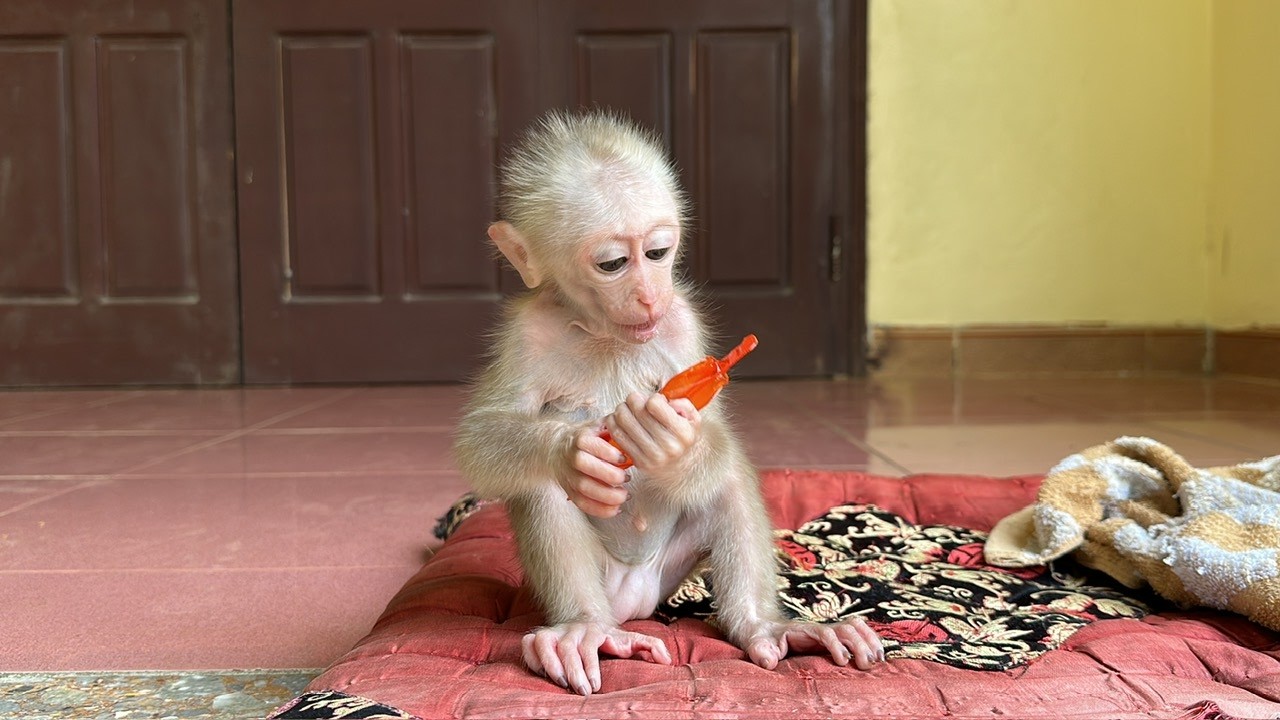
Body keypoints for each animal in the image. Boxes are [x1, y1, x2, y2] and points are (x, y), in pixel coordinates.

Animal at [453, 110, 883, 697]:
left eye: (658, 254)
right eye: (613, 264)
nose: (650, 293)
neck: (603, 332)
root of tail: (633, 600)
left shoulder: (682, 322)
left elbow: (716, 434)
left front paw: (674, 443)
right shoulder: (527, 333)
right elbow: (483, 434)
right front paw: (574, 451)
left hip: (670, 571)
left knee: (727, 477)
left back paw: (764, 625)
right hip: (605, 586)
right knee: (541, 486)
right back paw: (585, 628)